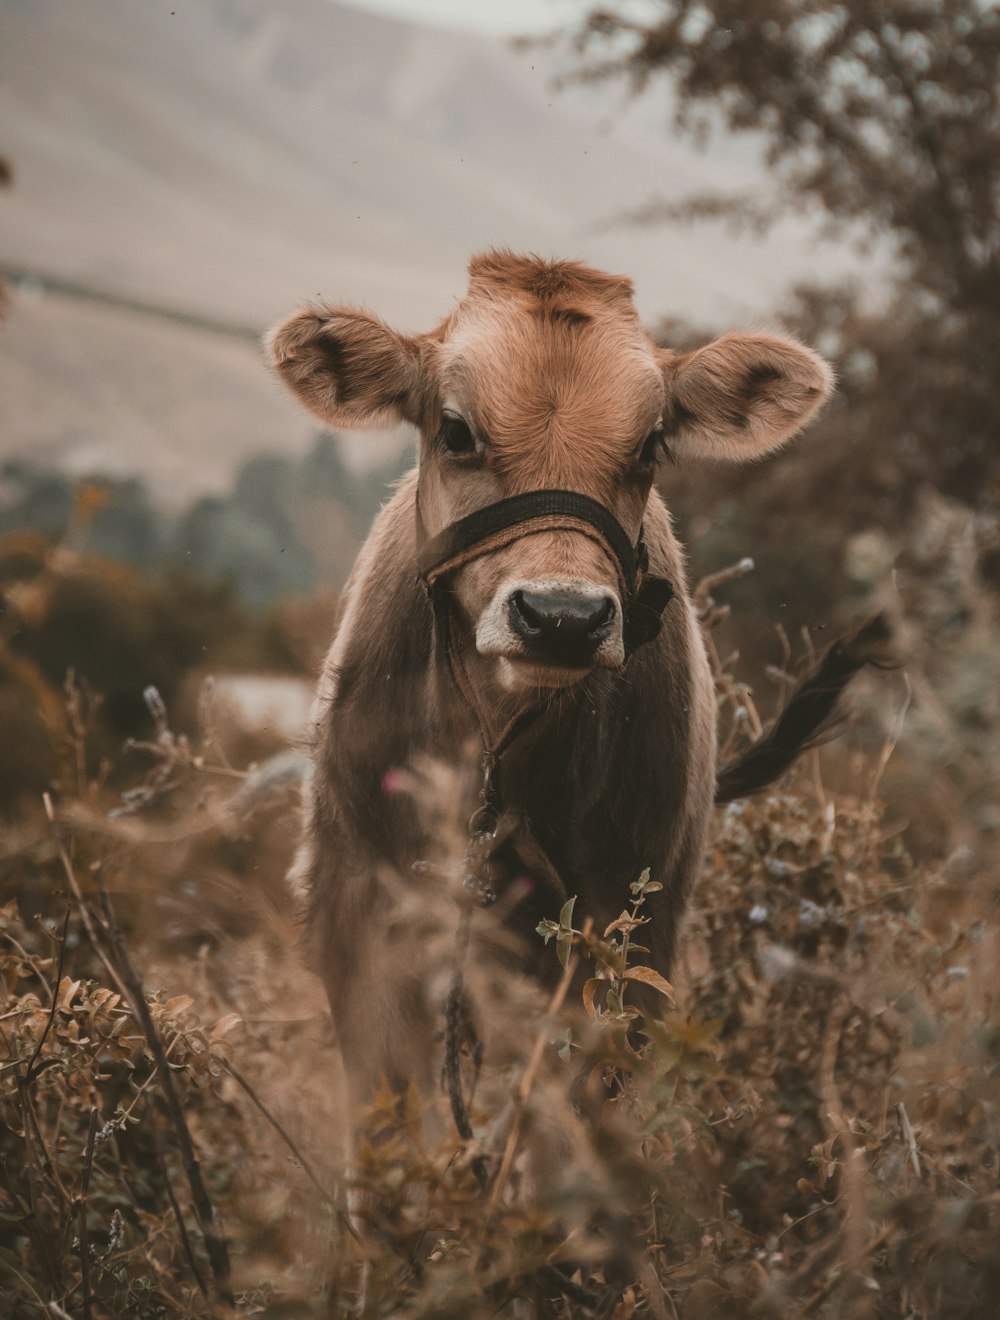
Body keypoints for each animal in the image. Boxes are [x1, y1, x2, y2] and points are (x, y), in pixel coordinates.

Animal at [263, 252, 875, 1151]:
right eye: (455, 431)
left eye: (650, 444)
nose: (562, 615)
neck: (492, 753)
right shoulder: (359, 922)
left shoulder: (630, 928)